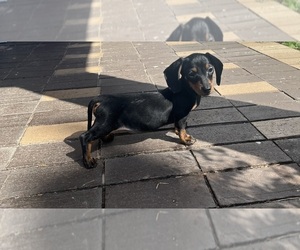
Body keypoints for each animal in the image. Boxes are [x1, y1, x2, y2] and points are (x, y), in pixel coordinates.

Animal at [79, 53, 223, 169]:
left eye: (210, 69)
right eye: (191, 73)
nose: (207, 89)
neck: (186, 89)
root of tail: (102, 98)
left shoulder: (179, 118)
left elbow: (178, 127)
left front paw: (179, 133)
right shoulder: (182, 115)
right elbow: (182, 128)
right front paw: (185, 139)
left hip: (104, 123)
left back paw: (106, 138)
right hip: (106, 123)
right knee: (85, 137)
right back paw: (88, 160)